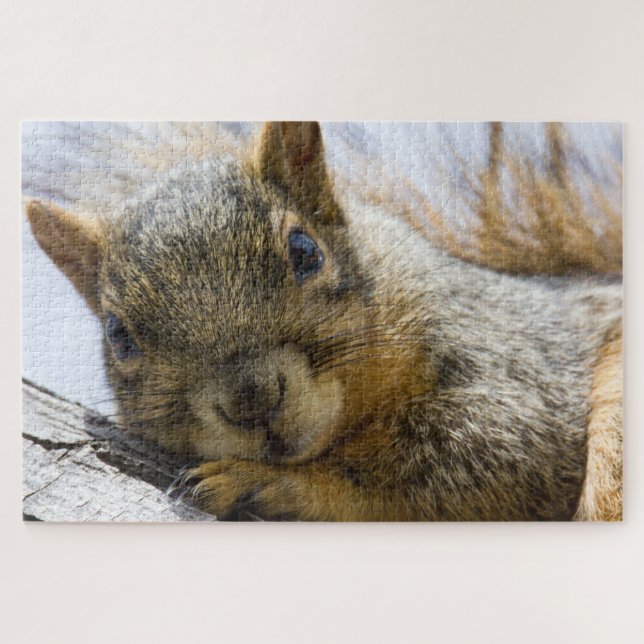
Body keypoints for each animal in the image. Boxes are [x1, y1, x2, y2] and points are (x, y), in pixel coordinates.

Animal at [25, 121, 622, 521]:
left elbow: (466, 473)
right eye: (118, 336)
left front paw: (268, 483)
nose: (253, 400)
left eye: (305, 250)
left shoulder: (514, 373)